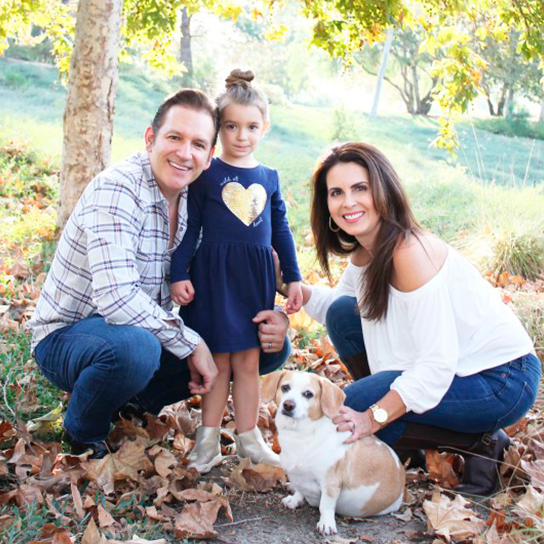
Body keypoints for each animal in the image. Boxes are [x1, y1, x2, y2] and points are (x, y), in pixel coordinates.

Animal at [262, 370, 406, 536]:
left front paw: (326, 523)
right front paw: (294, 499)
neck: (302, 436)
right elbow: (300, 490)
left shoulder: (330, 484)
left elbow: (325, 505)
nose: (288, 405)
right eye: (285, 387)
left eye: (308, 394)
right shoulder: (299, 477)